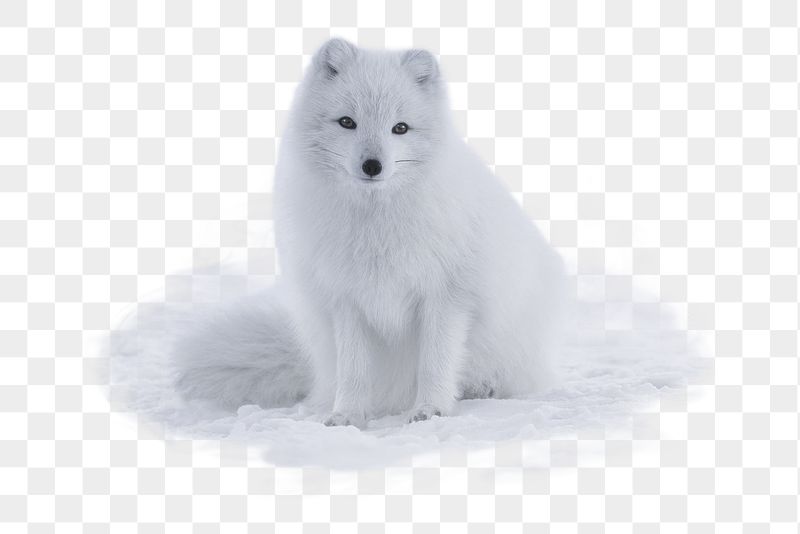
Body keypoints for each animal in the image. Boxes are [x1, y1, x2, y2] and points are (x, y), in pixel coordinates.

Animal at [173, 38, 567, 427]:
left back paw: (482, 387)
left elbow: (435, 362)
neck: (375, 225)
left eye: (400, 128)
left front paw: (431, 410)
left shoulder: (447, 296)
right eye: (347, 122)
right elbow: (354, 370)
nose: (373, 165)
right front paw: (347, 415)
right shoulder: (346, 300)